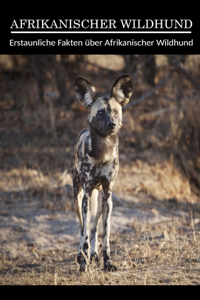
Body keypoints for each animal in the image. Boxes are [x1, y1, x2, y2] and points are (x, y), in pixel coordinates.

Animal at [70, 75, 133, 272]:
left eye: (116, 111)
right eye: (100, 113)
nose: (112, 124)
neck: (102, 151)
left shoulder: (107, 195)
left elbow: (105, 234)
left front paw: (107, 262)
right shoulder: (86, 194)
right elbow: (84, 234)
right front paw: (83, 264)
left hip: (98, 200)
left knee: (94, 227)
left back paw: (94, 254)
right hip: (78, 197)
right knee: (83, 228)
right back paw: (81, 255)